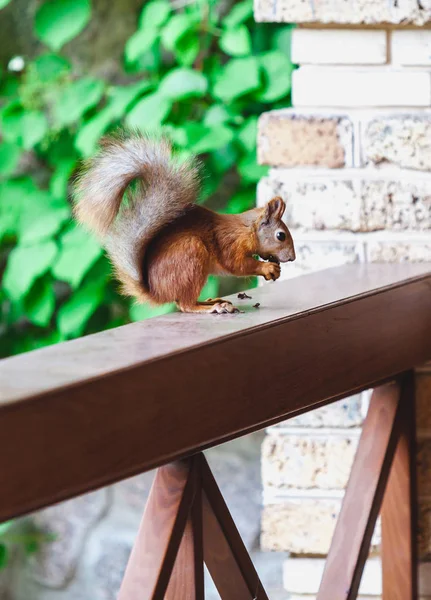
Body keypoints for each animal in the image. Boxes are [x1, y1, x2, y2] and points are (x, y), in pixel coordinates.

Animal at [74, 131, 296, 314]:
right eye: (280, 235)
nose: (292, 257)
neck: (247, 229)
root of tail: (157, 292)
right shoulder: (230, 243)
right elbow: (237, 265)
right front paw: (267, 268)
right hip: (190, 254)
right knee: (185, 304)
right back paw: (212, 307)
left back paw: (212, 301)